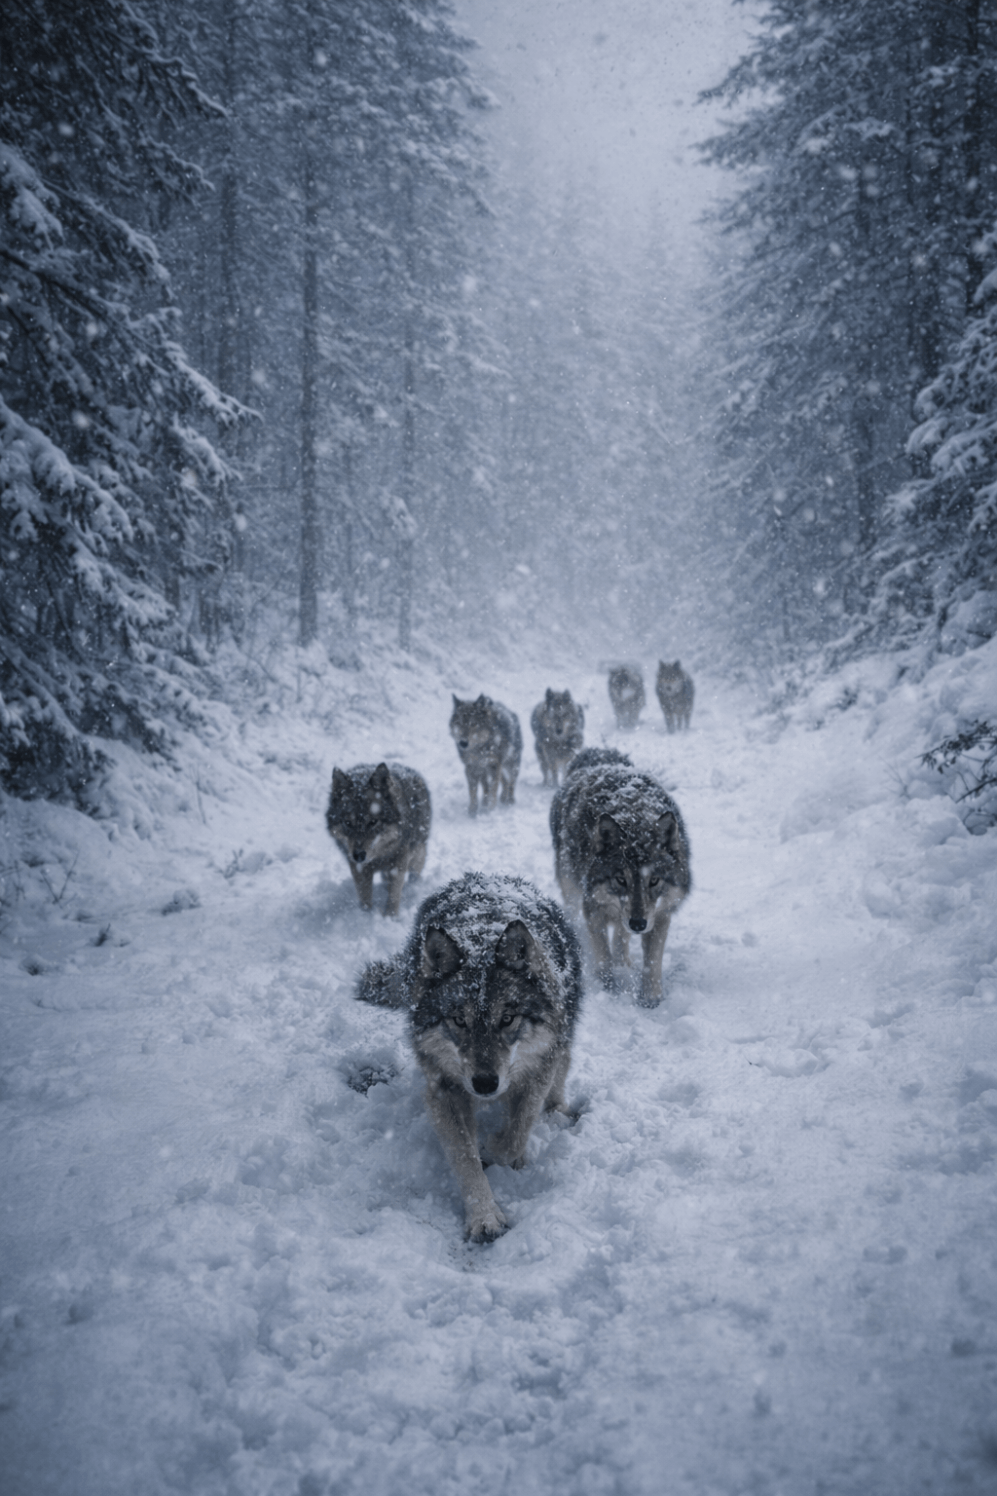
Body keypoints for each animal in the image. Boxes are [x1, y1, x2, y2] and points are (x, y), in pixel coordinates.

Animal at [326, 762, 431, 917]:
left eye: (373, 822)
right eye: (348, 823)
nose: (359, 855)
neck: (378, 858)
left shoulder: (399, 861)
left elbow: (394, 892)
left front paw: (390, 917)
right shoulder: (358, 866)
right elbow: (364, 894)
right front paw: (366, 915)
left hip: (418, 854)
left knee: (414, 874)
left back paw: (413, 888)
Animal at [358, 872, 583, 1242]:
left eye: (507, 1019)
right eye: (459, 1020)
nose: (485, 1083)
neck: (482, 934)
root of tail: (489, 877)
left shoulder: (538, 1068)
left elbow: (517, 1131)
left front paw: (496, 1148)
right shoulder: (443, 1087)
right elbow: (464, 1156)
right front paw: (484, 1217)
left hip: (564, 1036)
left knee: (557, 1085)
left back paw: (554, 1114)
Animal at [550, 754, 690, 1006]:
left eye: (654, 880)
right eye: (620, 879)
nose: (638, 924)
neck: (635, 816)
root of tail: (597, 763)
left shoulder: (660, 914)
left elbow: (652, 960)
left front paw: (651, 999)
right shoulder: (592, 906)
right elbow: (603, 956)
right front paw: (608, 990)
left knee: (621, 935)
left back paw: (623, 961)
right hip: (571, 887)